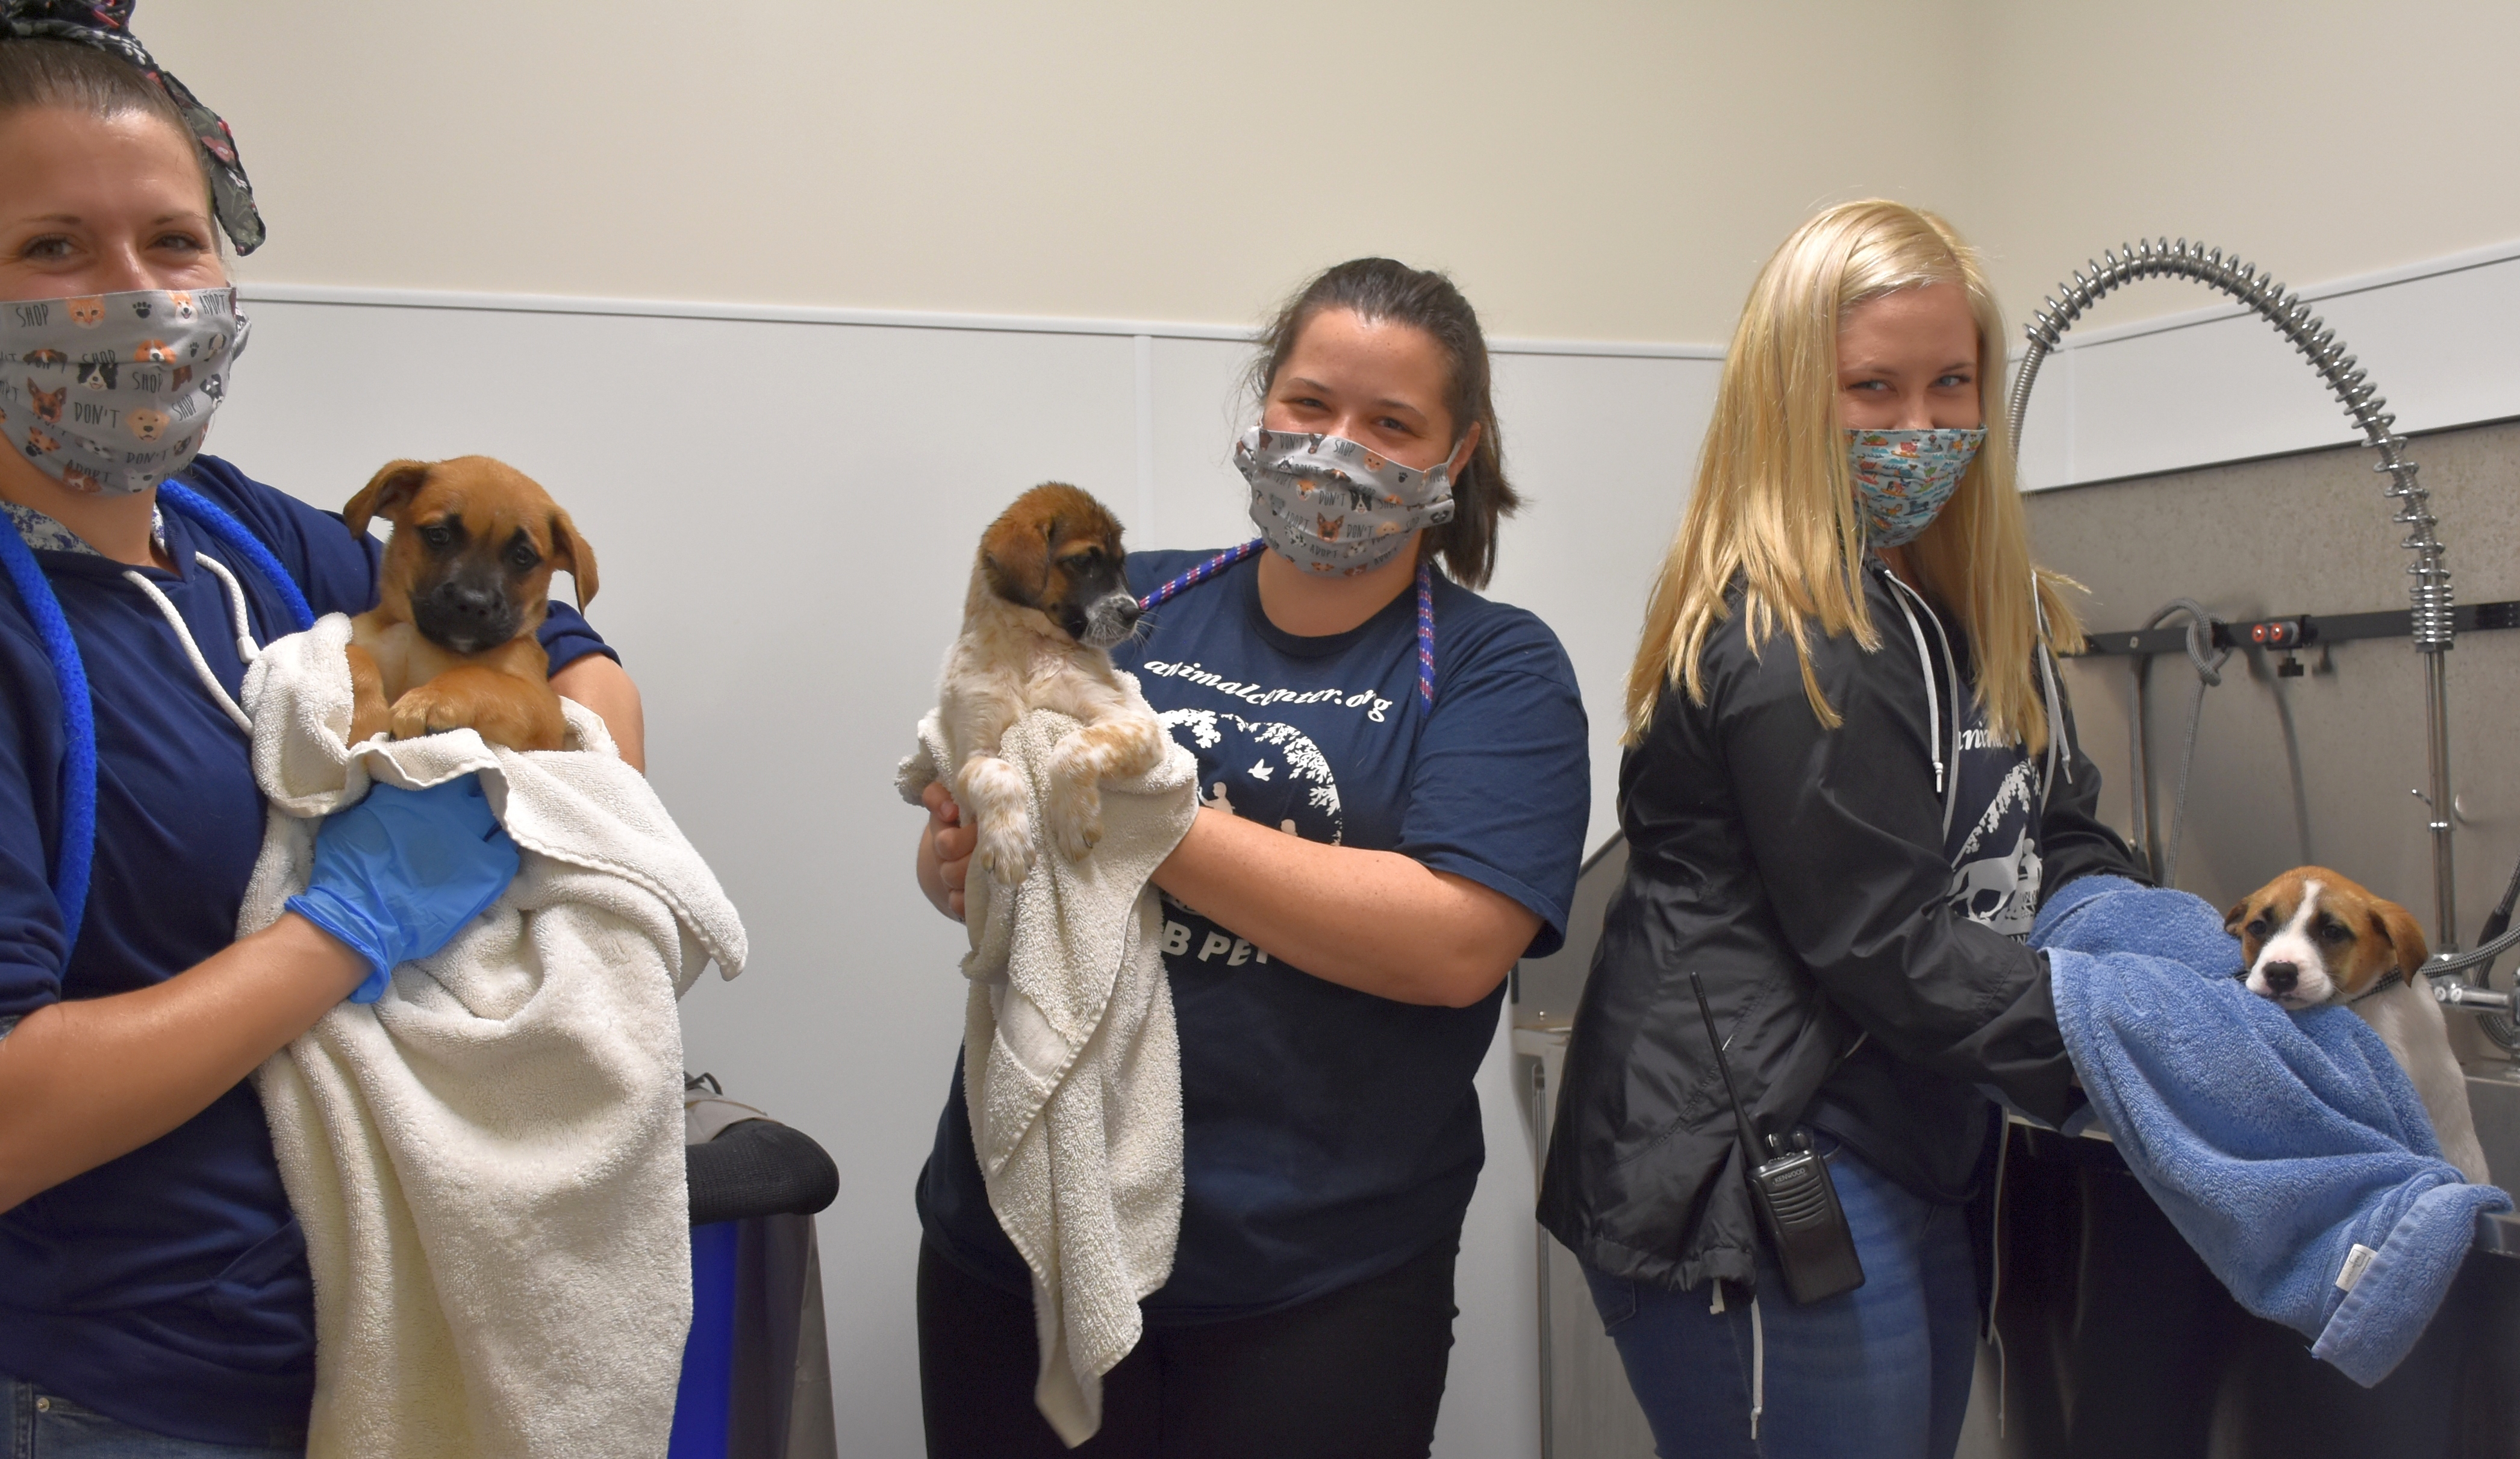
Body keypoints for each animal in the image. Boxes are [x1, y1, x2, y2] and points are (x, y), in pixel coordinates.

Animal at [340, 456, 594, 755]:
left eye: (523, 555)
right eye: (439, 534)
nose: (473, 604)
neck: (417, 640)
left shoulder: (543, 709)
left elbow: (479, 677)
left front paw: (432, 699)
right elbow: (353, 655)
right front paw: (365, 718)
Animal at [917, 486, 1169, 887]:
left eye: (1121, 564)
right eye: (1083, 561)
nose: (1135, 613)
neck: (1030, 648)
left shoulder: (1133, 722)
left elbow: (1072, 747)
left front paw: (1073, 821)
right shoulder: (970, 755)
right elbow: (998, 774)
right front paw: (1007, 844)